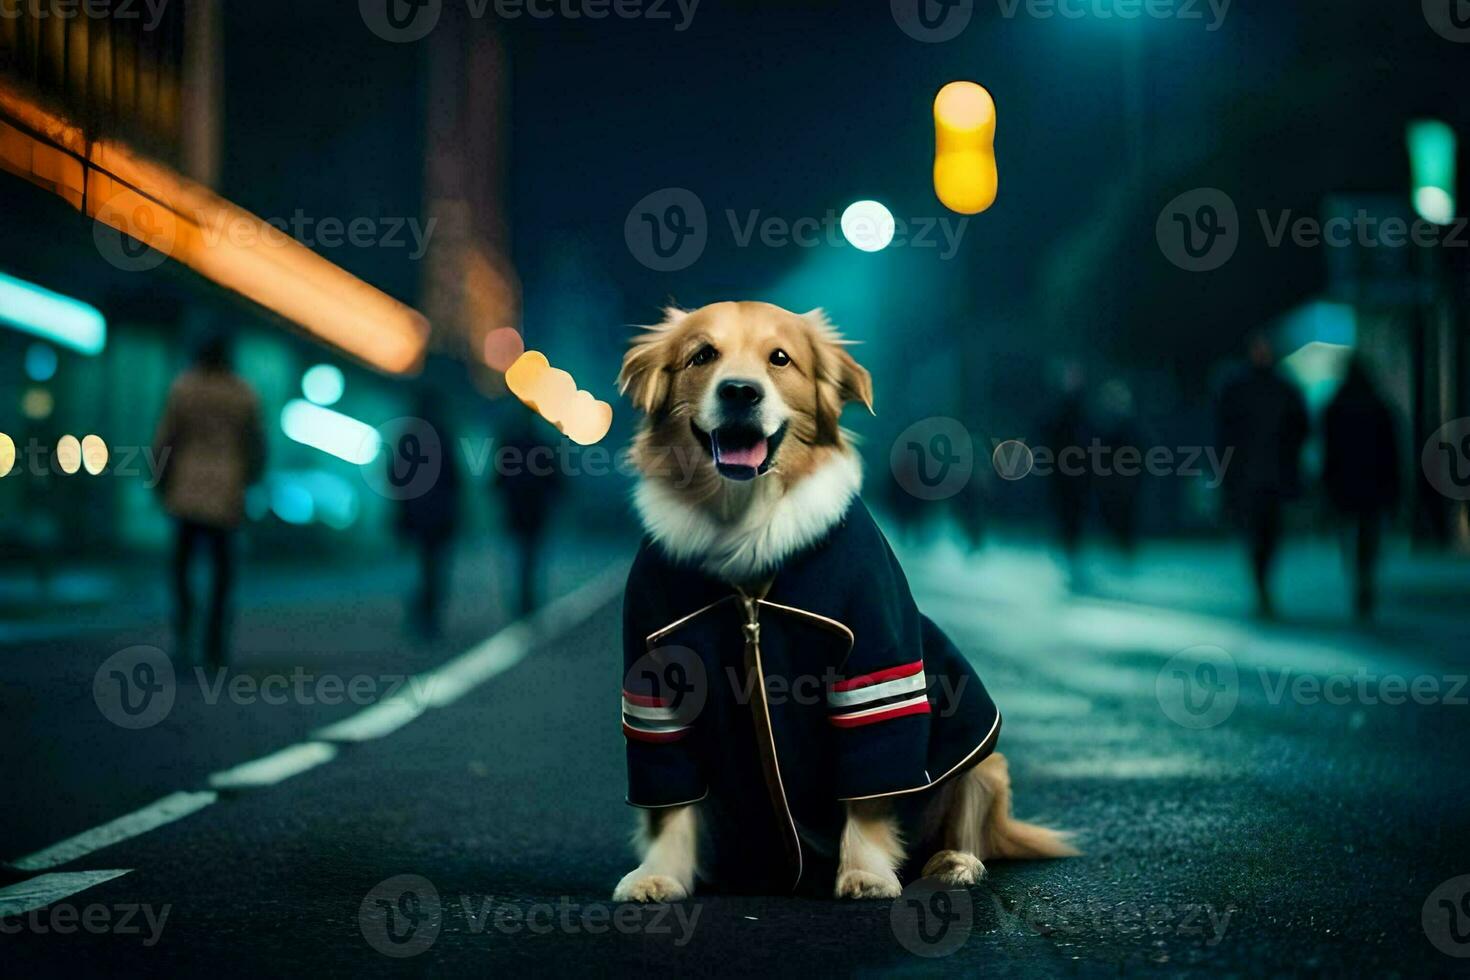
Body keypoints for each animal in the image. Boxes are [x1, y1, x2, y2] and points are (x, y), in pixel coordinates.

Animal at [605, 301, 1070, 905]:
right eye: (702, 355)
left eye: (780, 358)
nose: (739, 391)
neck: (744, 523)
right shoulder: (654, 692)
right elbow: (669, 806)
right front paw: (659, 874)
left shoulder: (872, 675)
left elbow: (868, 794)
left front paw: (867, 873)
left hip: (985, 761)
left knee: (967, 825)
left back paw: (953, 863)